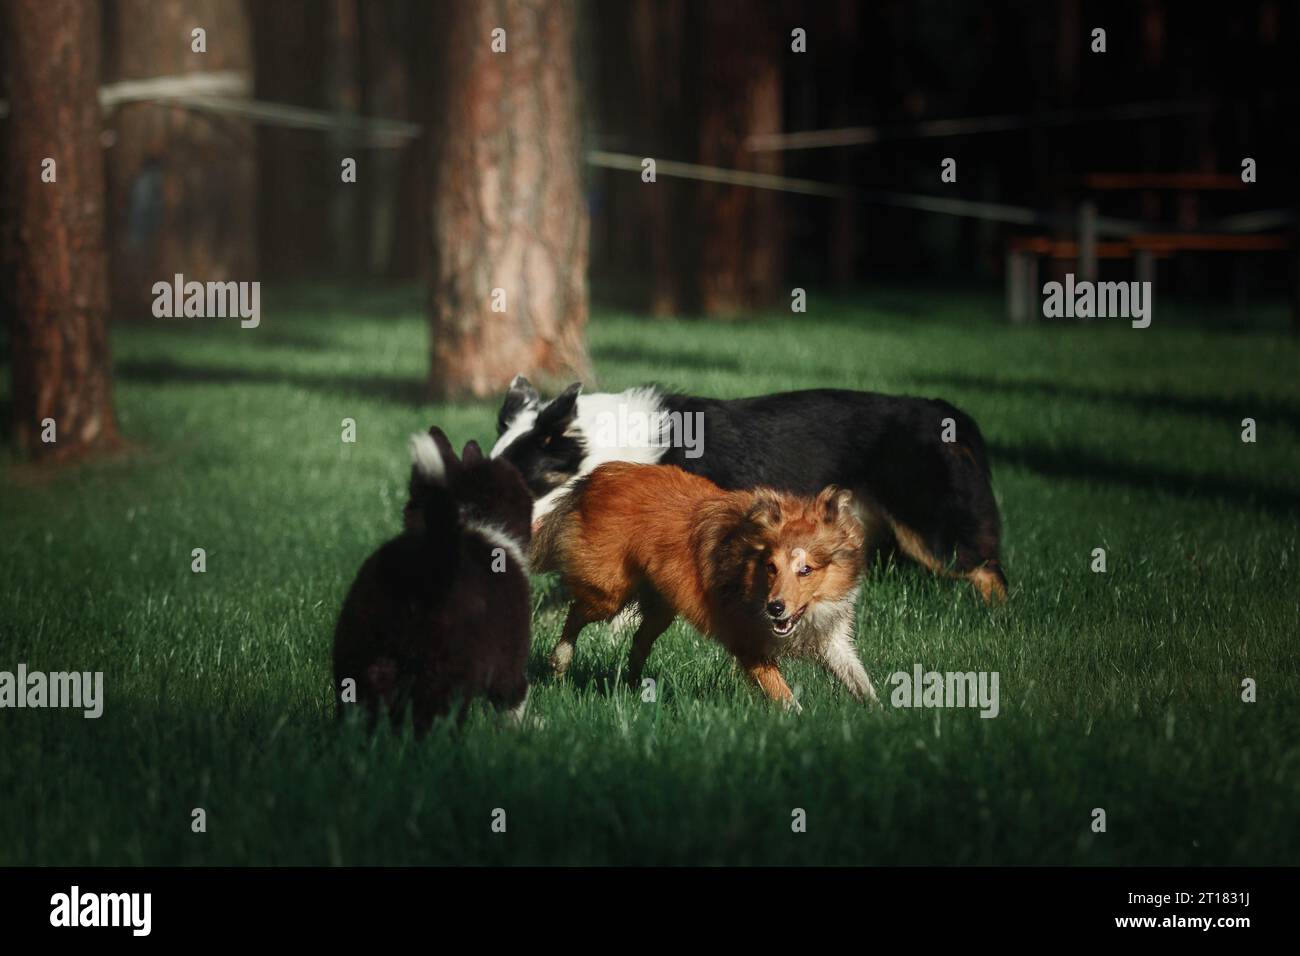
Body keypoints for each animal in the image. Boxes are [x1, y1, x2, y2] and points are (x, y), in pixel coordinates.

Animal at [533, 463, 878, 712]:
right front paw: (799, 720)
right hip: (608, 592)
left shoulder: (831, 640)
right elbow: (784, 695)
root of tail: (599, 474)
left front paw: (879, 716)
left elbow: (859, 679)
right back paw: (560, 662)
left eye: (805, 570)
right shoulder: (746, 642)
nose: (775, 608)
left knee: (639, 641)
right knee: (576, 613)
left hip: (661, 607)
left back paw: (634, 687)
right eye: (771, 566)